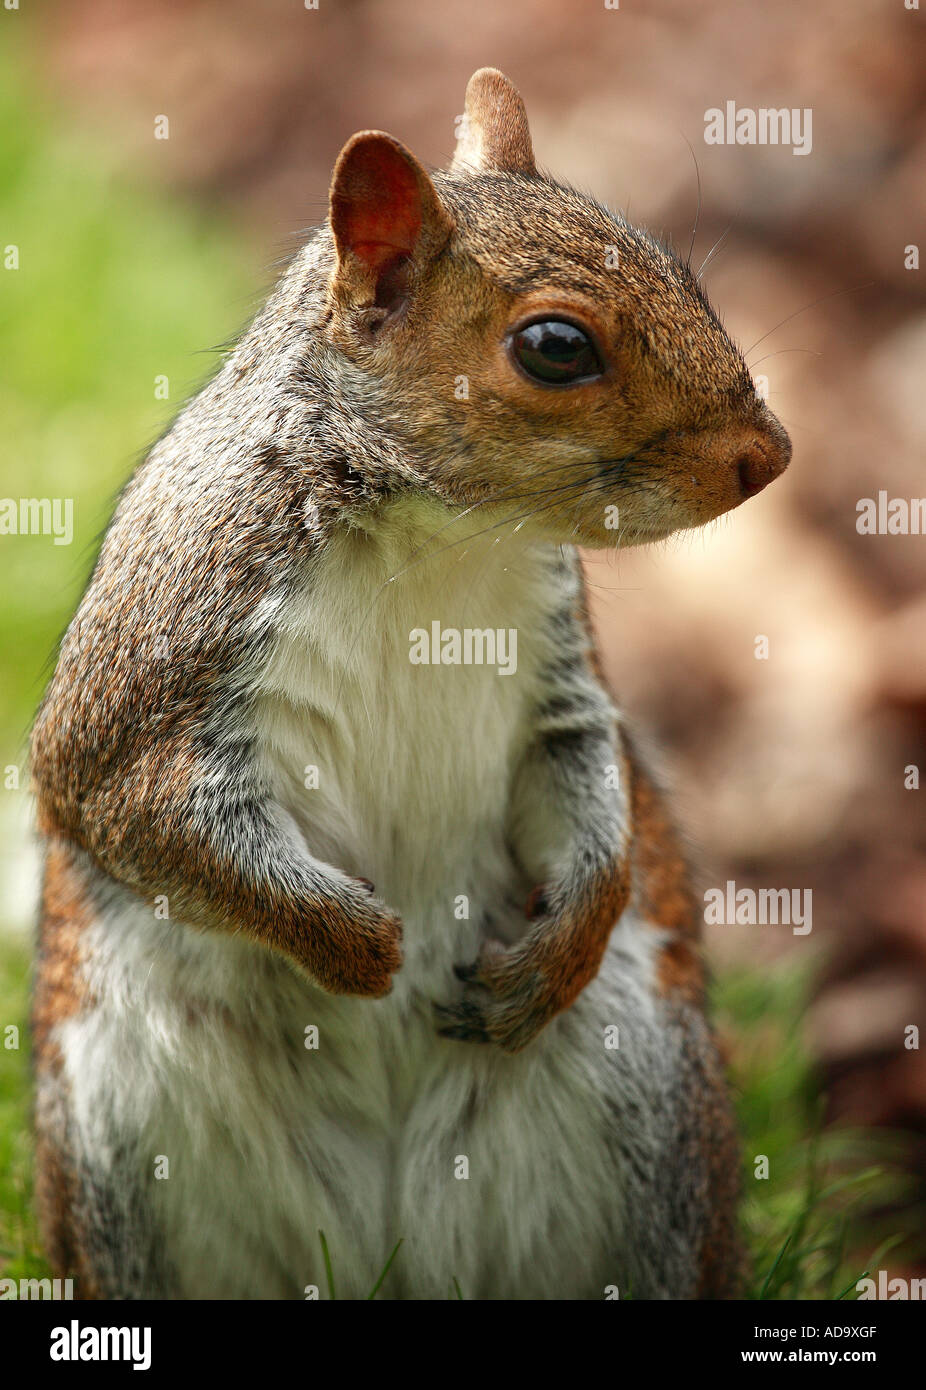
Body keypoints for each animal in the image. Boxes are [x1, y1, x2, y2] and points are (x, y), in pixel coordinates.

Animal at [30, 68, 790, 1300]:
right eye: (555, 346)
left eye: (679, 270)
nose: (768, 454)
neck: (441, 536)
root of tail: (392, 1255)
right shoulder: (163, 656)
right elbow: (119, 802)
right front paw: (356, 943)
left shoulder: (556, 675)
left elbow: (587, 773)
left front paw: (557, 946)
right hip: (117, 1140)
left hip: (654, 1106)